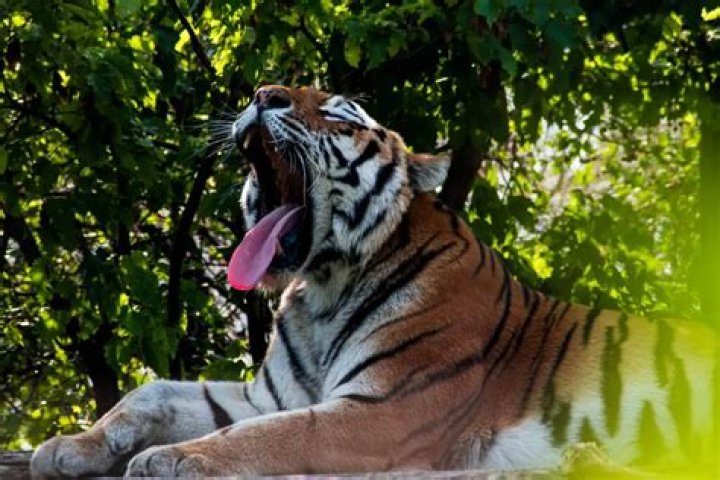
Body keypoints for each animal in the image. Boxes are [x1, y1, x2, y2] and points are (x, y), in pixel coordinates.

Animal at [31, 85, 716, 477]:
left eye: (338, 115)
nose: (263, 93)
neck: (322, 288)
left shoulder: (386, 406)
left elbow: (272, 435)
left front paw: (177, 458)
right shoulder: (273, 394)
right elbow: (154, 393)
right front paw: (69, 445)